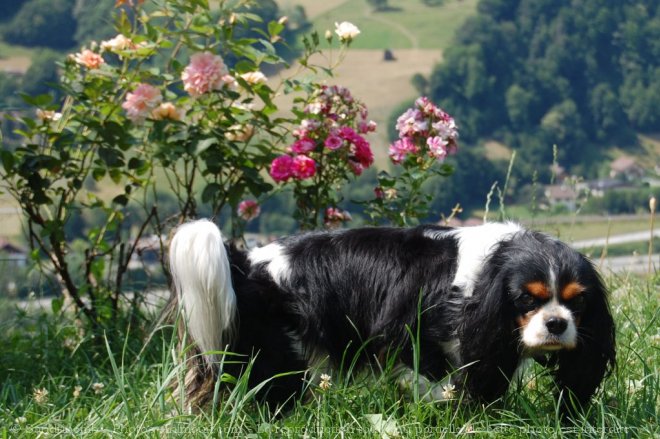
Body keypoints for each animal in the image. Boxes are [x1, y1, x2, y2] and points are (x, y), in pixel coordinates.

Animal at [168, 220, 616, 416]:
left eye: (577, 303)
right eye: (526, 299)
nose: (556, 323)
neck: (484, 278)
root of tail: (245, 265)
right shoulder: (410, 335)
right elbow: (439, 383)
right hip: (277, 358)